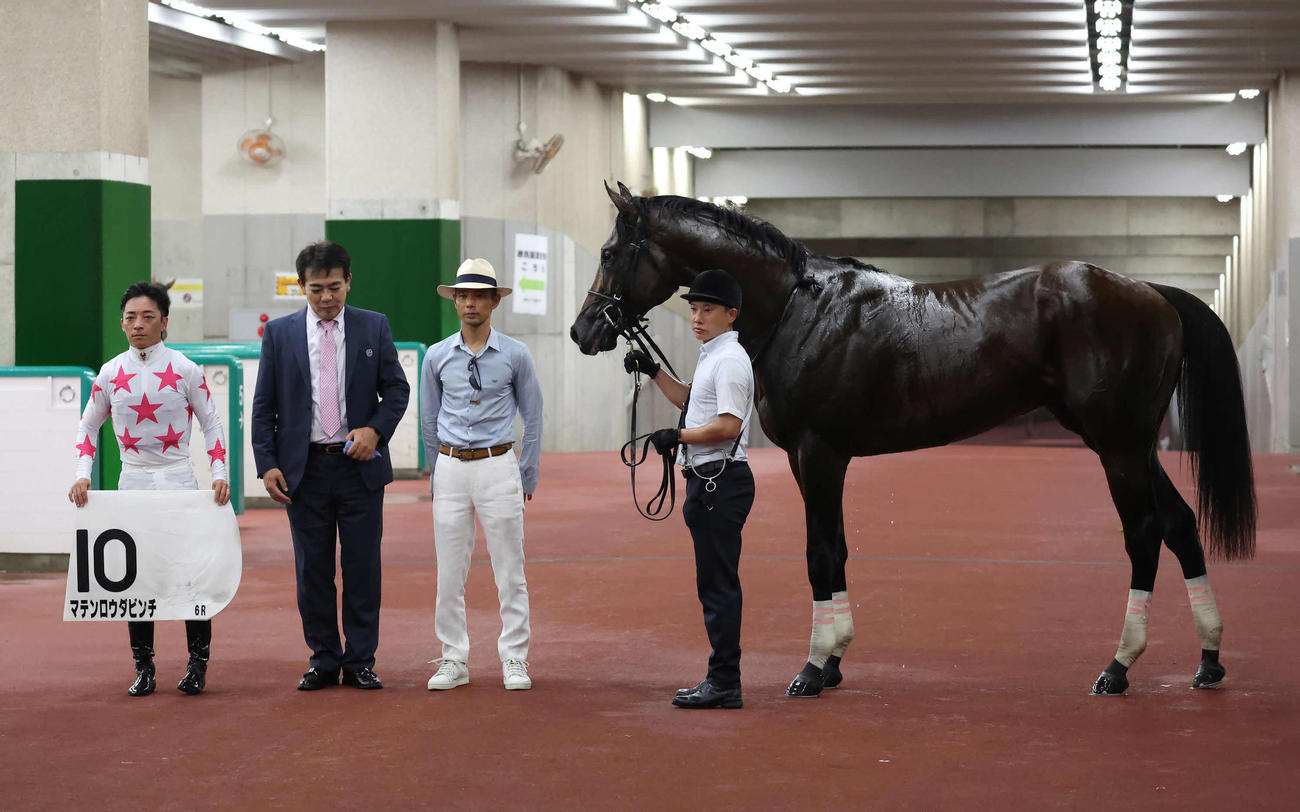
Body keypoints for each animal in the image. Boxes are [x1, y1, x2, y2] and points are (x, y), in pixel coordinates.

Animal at [570, 182, 1256, 698]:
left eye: (611, 249)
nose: (584, 331)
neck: (799, 310)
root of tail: (1151, 292)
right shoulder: (823, 458)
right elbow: (839, 551)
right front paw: (836, 661)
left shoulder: (818, 454)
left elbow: (820, 553)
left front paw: (812, 669)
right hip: (1131, 444)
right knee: (1180, 524)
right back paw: (1209, 659)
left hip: (1117, 447)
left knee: (1143, 534)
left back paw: (1118, 667)